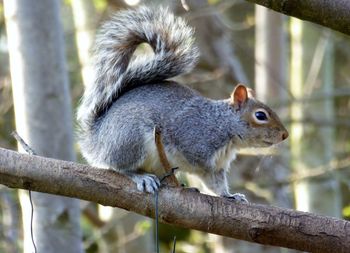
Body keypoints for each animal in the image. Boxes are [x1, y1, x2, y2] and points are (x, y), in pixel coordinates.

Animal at [78, 6, 288, 204]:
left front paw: (230, 195)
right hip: (130, 138)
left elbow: (217, 184)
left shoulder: (218, 166)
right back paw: (141, 177)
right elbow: (200, 167)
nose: (285, 135)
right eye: (260, 115)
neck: (223, 126)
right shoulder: (194, 143)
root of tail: (96, 141)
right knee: (118, 166)